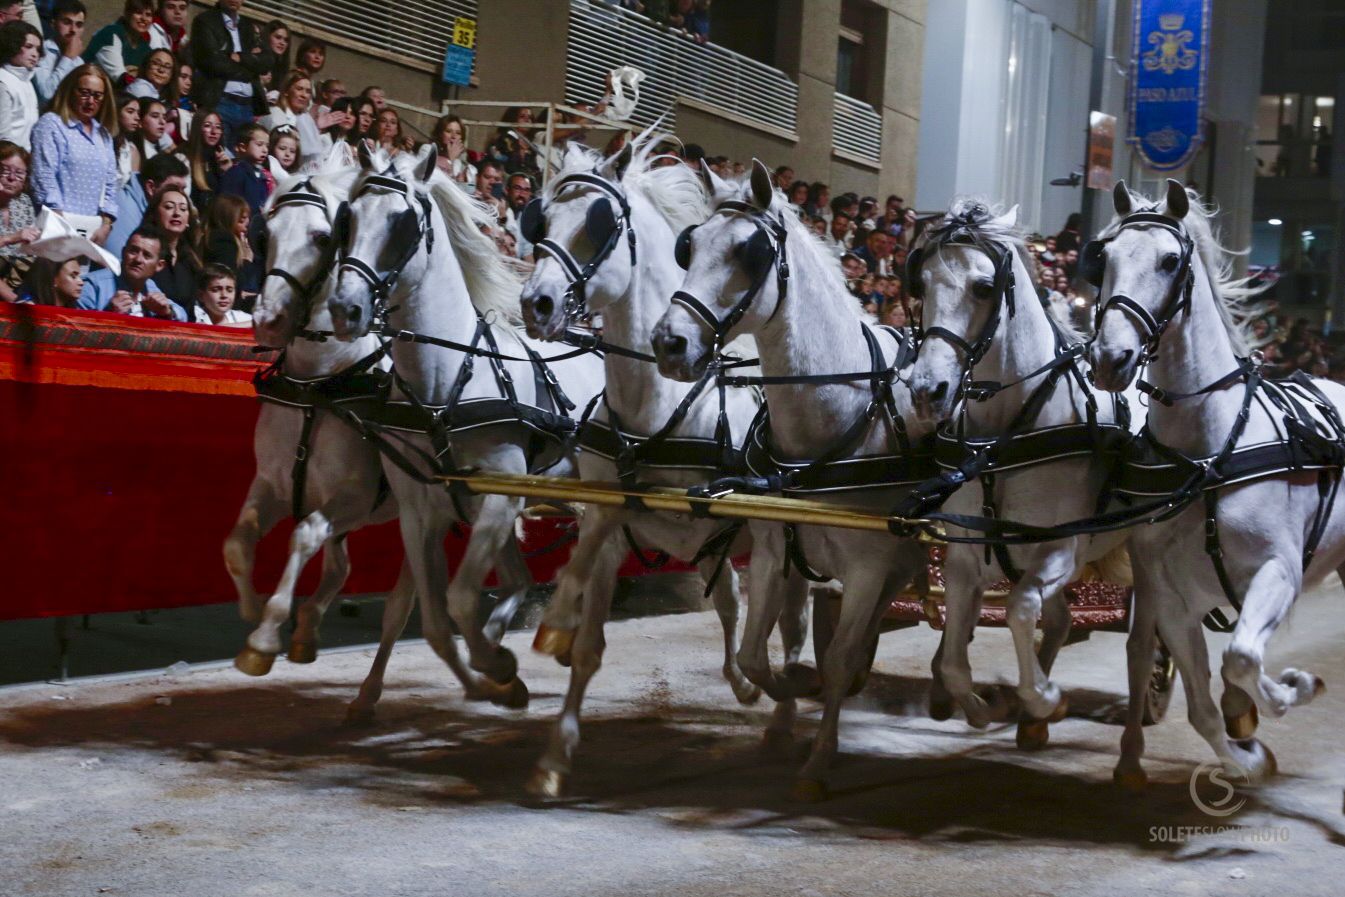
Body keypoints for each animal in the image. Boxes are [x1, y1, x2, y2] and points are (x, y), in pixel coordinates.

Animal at [330, 145, 605, 710]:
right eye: (349, 218)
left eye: (403, 224)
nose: (346, 309)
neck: (448, 382)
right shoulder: (420, 511)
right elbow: (433, 619)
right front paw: (496, 673)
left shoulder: (499, 496)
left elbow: (458, 599)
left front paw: (498, 665)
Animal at [516, 137, 769, 796]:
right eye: (540, 221)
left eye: (600, 224)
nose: (536, 303)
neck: (656, 407)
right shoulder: (617, 523)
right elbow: (588, 633)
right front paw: (554, 756)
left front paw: (553, 621)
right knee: (734, 602)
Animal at [653, 161, 930, 801]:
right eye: (689, 245)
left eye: (749, 252)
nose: (670, 342)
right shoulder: (775, 549)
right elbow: (760, 654)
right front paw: (785, 696)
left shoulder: (870, 565)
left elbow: (841, 657)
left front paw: (818, 760)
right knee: (804, 630)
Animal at [898, 201, 1140, 753]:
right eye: (921, 283)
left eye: (984, 287)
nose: (926, 390)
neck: (1001, 442)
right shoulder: (965, 557)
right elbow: (954, 659)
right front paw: (984, 707)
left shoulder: (1060, 548)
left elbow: (1019, 610)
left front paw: (1044, 697)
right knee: (1061, 620)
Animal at [1086, 178, 1339, 779]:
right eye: (1104, 256)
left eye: (1169, 260)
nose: (1109, 358)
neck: (1208, 457)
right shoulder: (1174, 596)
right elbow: (1204, 701)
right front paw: (1249, 754)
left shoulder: (1279, 572)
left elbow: (1241, 658)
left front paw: (1292, 689)